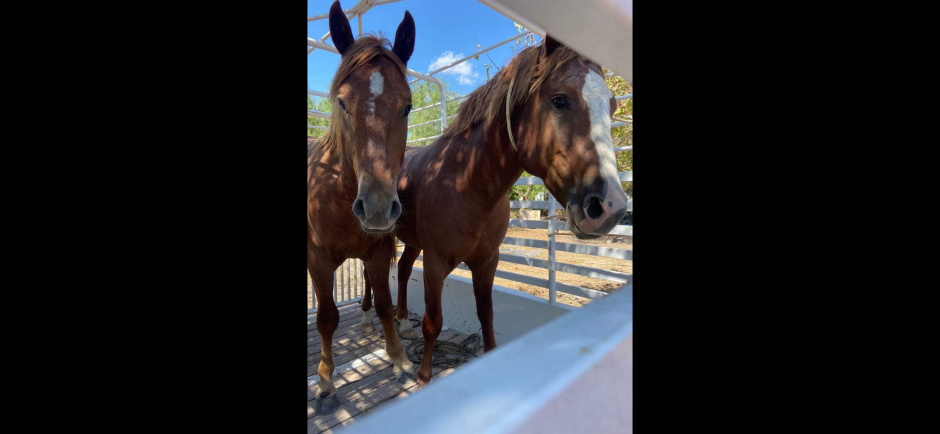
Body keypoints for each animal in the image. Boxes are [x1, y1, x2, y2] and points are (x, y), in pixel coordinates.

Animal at [307, 1, 416, 414]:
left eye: (407, 107)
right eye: (341, 102)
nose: (377, 208)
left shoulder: (380, 248)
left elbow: (386, 304)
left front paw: (399, 359)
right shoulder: (318, 260)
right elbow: (326, 318)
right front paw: (325, 383)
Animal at [391, 36, 629, 386]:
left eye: (611, 107)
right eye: (560, 100)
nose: (611, 206)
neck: (463, 182)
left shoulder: (488, 261)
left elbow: (486, 313)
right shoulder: (435, 263)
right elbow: (433, 321)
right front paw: (423, 376)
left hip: (411, 242)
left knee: (404, 269)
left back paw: (403, 321)